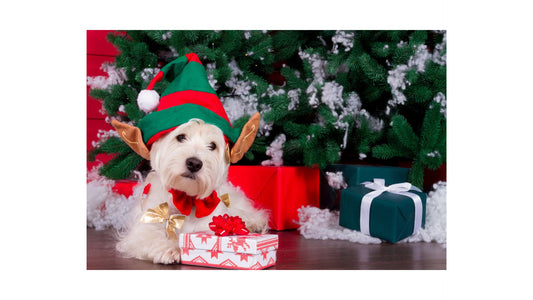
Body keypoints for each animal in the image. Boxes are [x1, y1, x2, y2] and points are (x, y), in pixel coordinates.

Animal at [114, 118, 268, 264]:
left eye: (212, 145)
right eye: (181, 137)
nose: (194, 163)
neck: (186, 197)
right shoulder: (146, 224)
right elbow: (150, 237)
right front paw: (170, 249)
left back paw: (255, 224)